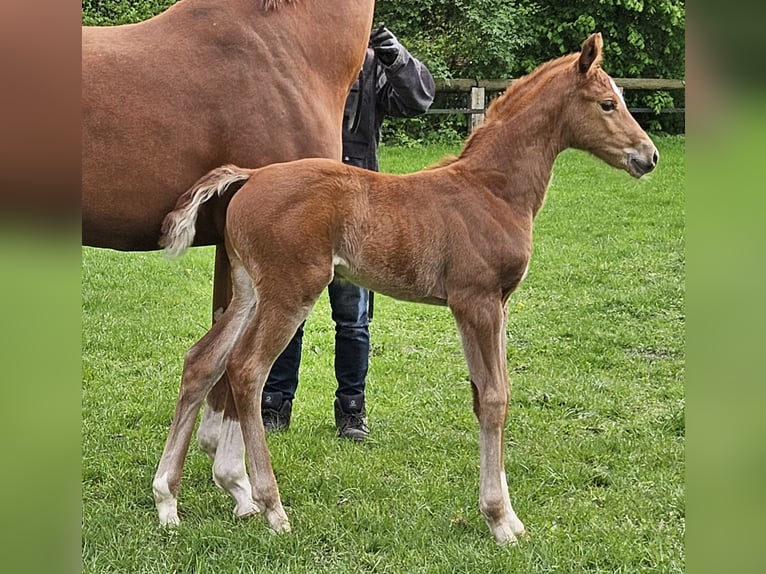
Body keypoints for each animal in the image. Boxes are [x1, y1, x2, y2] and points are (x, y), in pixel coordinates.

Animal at [156, 32, 660, 544]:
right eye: (607, 103)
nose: (649, 155)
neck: (493, 190)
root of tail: (253, 176)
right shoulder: (477, 301)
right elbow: (495, 397)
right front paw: (499, 519)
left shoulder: (495, 305)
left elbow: (486, 394)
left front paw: (510, 517)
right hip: (290, 290)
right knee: (246, 369)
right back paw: (272, 507)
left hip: (248, 291)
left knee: (204, 360)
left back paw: (167, 500)